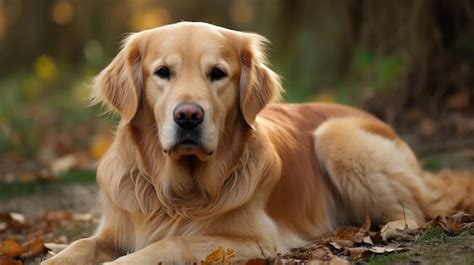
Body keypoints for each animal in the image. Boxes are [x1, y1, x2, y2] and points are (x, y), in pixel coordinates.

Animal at [42, 21, 472, 262]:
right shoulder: (113, 230)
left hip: (337, 135)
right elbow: (79, 246)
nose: (188, 116)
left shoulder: (255, 239)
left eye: (217, 73)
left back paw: (396, 227)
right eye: (162, 72)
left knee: (416, 208)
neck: (178, 193)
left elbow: (169, 244)